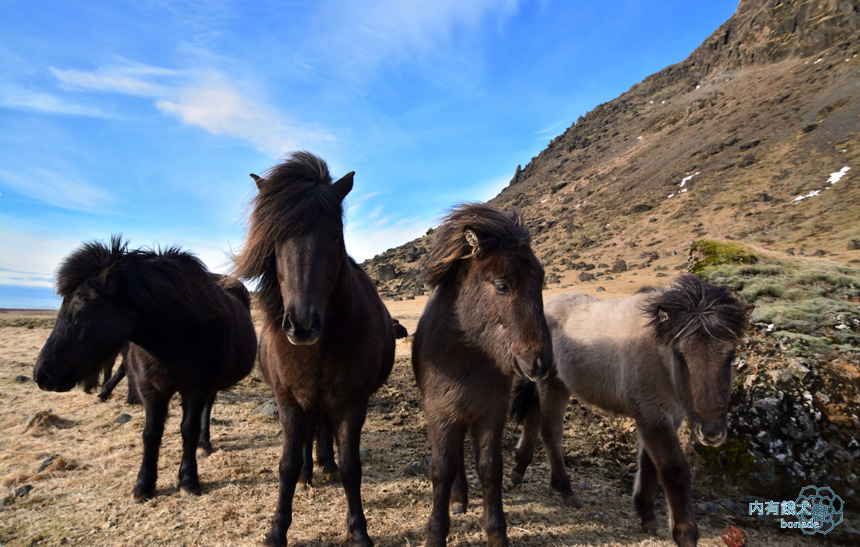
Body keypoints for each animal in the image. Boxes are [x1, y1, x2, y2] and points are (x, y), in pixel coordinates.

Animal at [34, 238, 255, 504]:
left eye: (80, 313)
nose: (41, 375)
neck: (175, 339)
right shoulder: (151, 389)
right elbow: (151, 434)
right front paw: (143, 485)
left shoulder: (195, 388)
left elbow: (188, 430)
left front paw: (188, 481)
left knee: (207, 409)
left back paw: (204, 443)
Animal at [235, 151, 396, 547]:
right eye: (275, 236)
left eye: (335, 235)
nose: (302, 324)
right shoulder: (289, 401)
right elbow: (287, 464)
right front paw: (277, 530)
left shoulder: (353, 403)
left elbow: (352, 467)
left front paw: (359, 531)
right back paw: (311, 471)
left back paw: (325, 464)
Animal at [412, 204, 552, 547]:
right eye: (502, 285)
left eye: (541, 280)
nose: (540, 362)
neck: (468, 357)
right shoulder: (441, 414)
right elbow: (442, 469)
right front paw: (436, 534)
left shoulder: (491, 413)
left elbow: (490, 469)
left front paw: (496, 533)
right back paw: (458, 499)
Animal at [512, 276, 748, 544]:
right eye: (680, 355)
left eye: (730, 355)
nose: (711, 432)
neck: (655, 350)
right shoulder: (651, 414)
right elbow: (673, 468)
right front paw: (685, 533)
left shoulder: (667, 416)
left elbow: (649, 464)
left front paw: (646, 515)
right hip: (552, 384)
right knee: (551, 433)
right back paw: (565, 489)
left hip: (550, 383)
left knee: (533, 418)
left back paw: (519, 469)